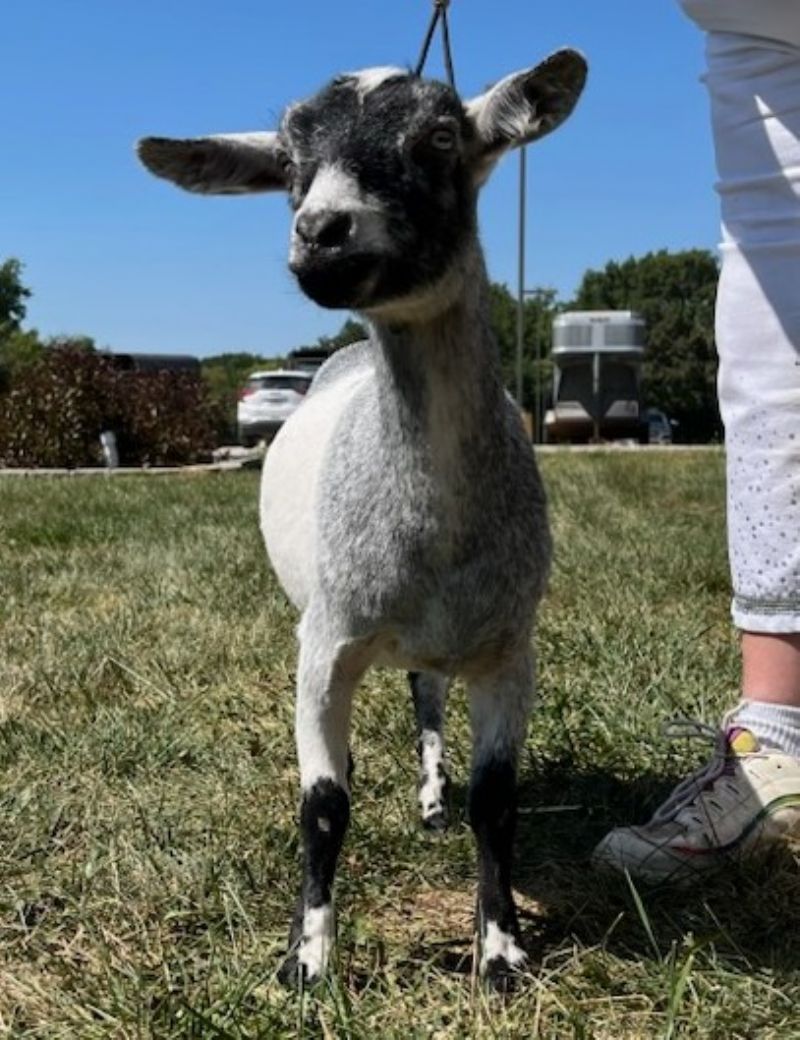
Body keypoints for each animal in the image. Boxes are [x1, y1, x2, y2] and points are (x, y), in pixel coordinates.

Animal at [137, 49, 587, 989]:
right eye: (288, 165)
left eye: (441, 138)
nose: (322, 232)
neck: (433, 527)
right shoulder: (326, 640)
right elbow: (323, 803)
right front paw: (307, 959)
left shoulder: (509, 647)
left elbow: (498, 803)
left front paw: (501, 949)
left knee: (425, 697)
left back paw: (431, 798)